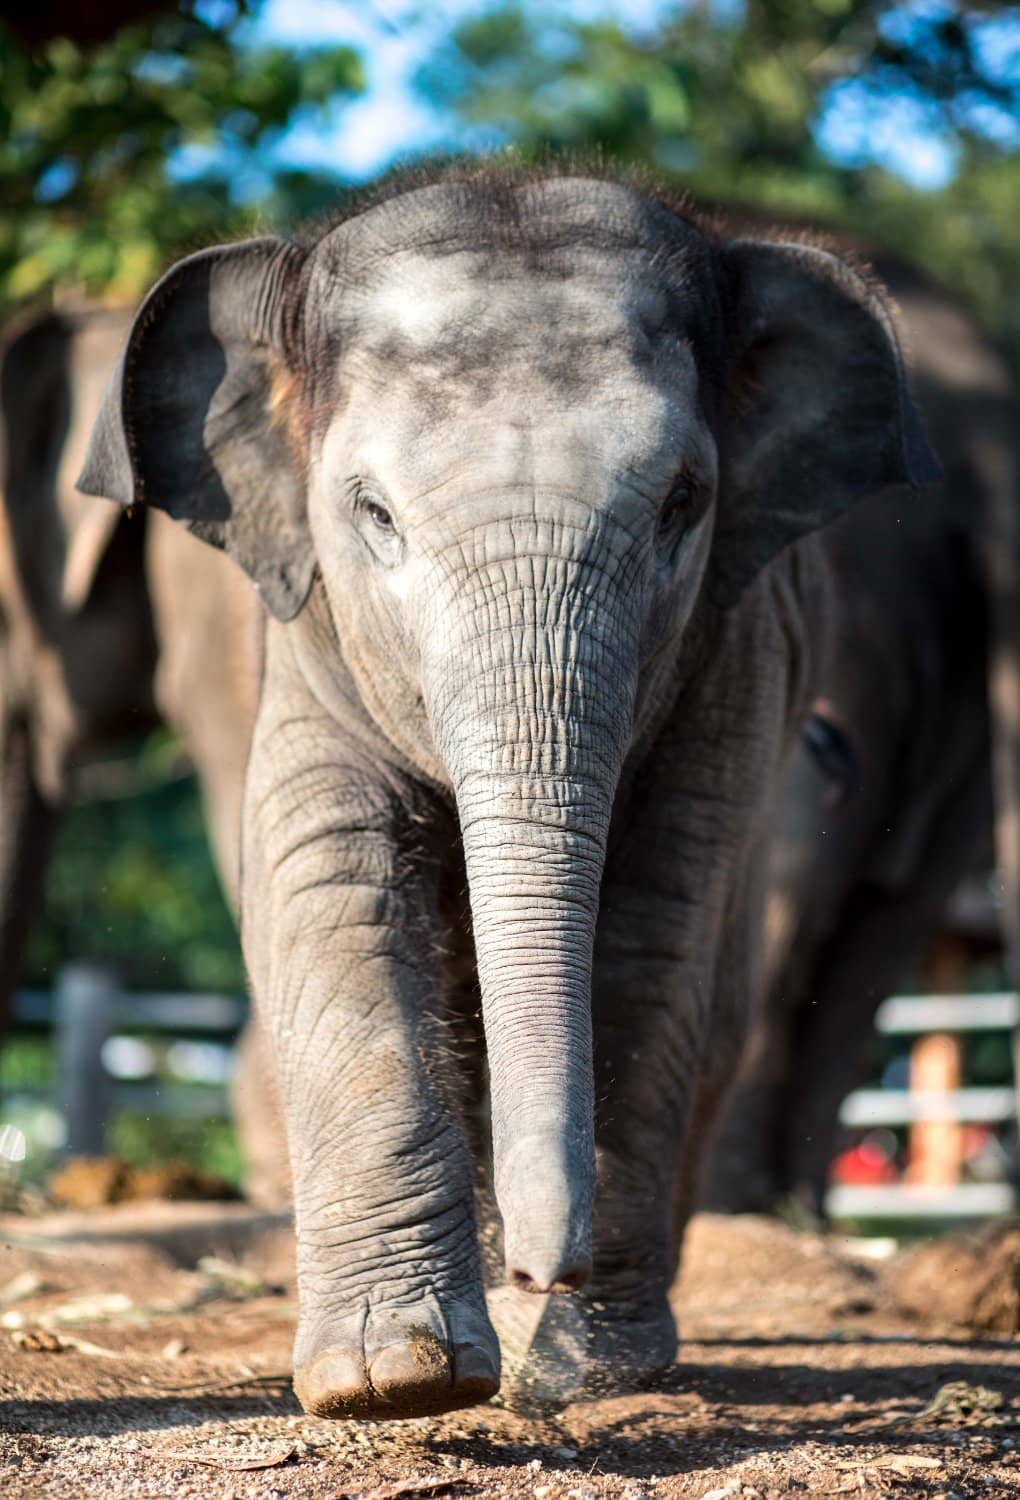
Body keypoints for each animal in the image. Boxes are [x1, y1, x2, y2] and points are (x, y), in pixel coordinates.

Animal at [79, 164, 936, 1420]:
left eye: (683, 503)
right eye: (372, 513)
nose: (540, 1269)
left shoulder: (736, 656)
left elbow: (651, 935)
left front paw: (582, 1367)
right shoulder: (307, 642)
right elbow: (337, 896)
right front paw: (395, 1382)